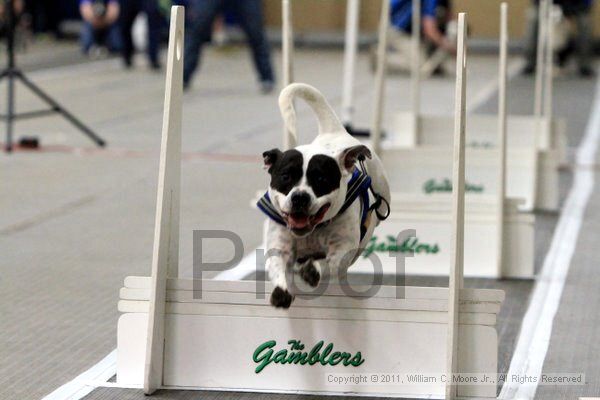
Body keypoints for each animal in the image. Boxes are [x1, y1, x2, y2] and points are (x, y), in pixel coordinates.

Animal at [258, 83, 394, 308]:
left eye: (321, 179)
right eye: (286, 176)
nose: (300, 197)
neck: (311, 232)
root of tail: (335, 130)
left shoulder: (342, 249)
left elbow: (330, 263)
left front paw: (313, 269)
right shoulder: (280, 245)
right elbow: (278, 265)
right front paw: (281, 290)